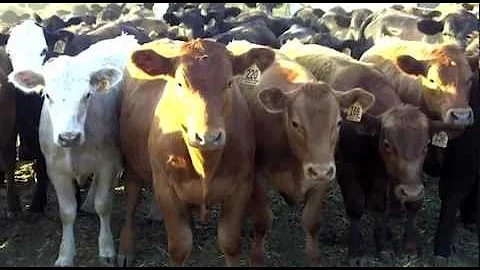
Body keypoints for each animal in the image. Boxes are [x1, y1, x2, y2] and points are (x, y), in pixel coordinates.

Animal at [8, 34, 140, 266]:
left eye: (87, 95)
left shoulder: (108, 163)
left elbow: (104, 204)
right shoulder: (56, 170)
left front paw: (106, 249)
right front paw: (65, 255)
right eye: (48, 95)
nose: (69, 136)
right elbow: (67, 213)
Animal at [117, 37, 274, 266]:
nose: (207, 137)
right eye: (180, 84)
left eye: (229, 83)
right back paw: (126, 247)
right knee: (131, 201)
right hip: (132, 163)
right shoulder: (165, 188)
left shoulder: (242, 186)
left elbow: (230, 243)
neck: (205, 164)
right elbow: (179, 247)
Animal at [227, 40, 376, 266]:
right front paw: (257, 257)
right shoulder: (257, 177)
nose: (320, 170)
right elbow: (262, 221)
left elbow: (312, 222)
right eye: (296, 123)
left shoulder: (323, 178)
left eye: (338, 123)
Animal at [278, 41, 464, 264]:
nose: (411, 192)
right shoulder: (346, 168)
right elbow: (355, 205)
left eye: (426, 146)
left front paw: (385, 244)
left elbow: (380, 204)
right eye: (387, 144)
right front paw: (356, 251)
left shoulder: (381, 172)